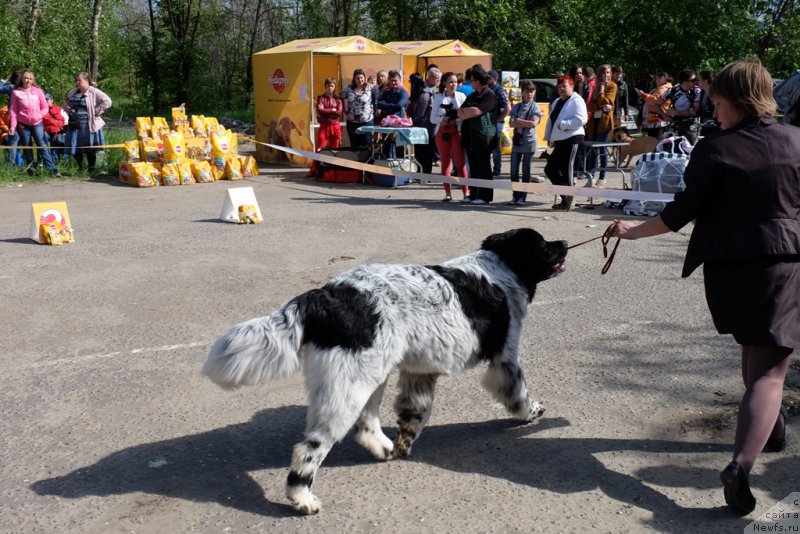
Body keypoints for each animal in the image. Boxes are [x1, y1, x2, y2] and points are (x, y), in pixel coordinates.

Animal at [203, 228, 572, 516]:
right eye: (542, 244)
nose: (566, 242)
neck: (501, 268)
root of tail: (324, 296)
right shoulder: (505, 358)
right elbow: (519, 392)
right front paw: (532, 412)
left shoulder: (420, 371)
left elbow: (415, 412)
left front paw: (405, 442)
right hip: (350, 388)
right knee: (310, 448)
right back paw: (302, 499)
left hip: (368, 375)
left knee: (365, 423)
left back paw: (382, 447)